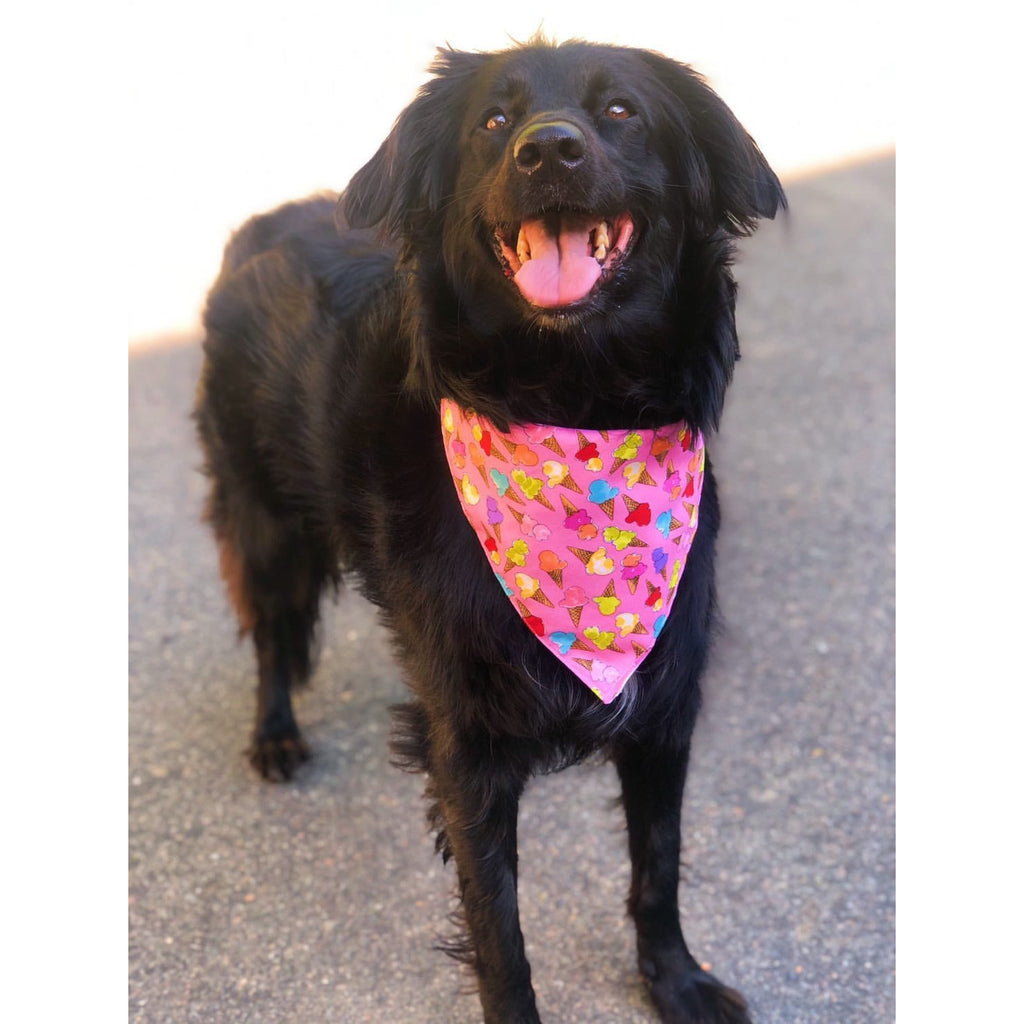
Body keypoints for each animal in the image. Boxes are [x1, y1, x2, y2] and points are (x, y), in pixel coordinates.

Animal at [193, 36, 782, 1019]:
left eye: (620, 110)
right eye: (495, 121)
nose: (549, 151)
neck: (573, 404)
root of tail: (260, 227)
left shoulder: (666, 699)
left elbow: (657, 866)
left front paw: (675, 981)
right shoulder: (467, 743)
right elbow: (497, 928)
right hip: (265, 516)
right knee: (271, 629)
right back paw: (275, 735)